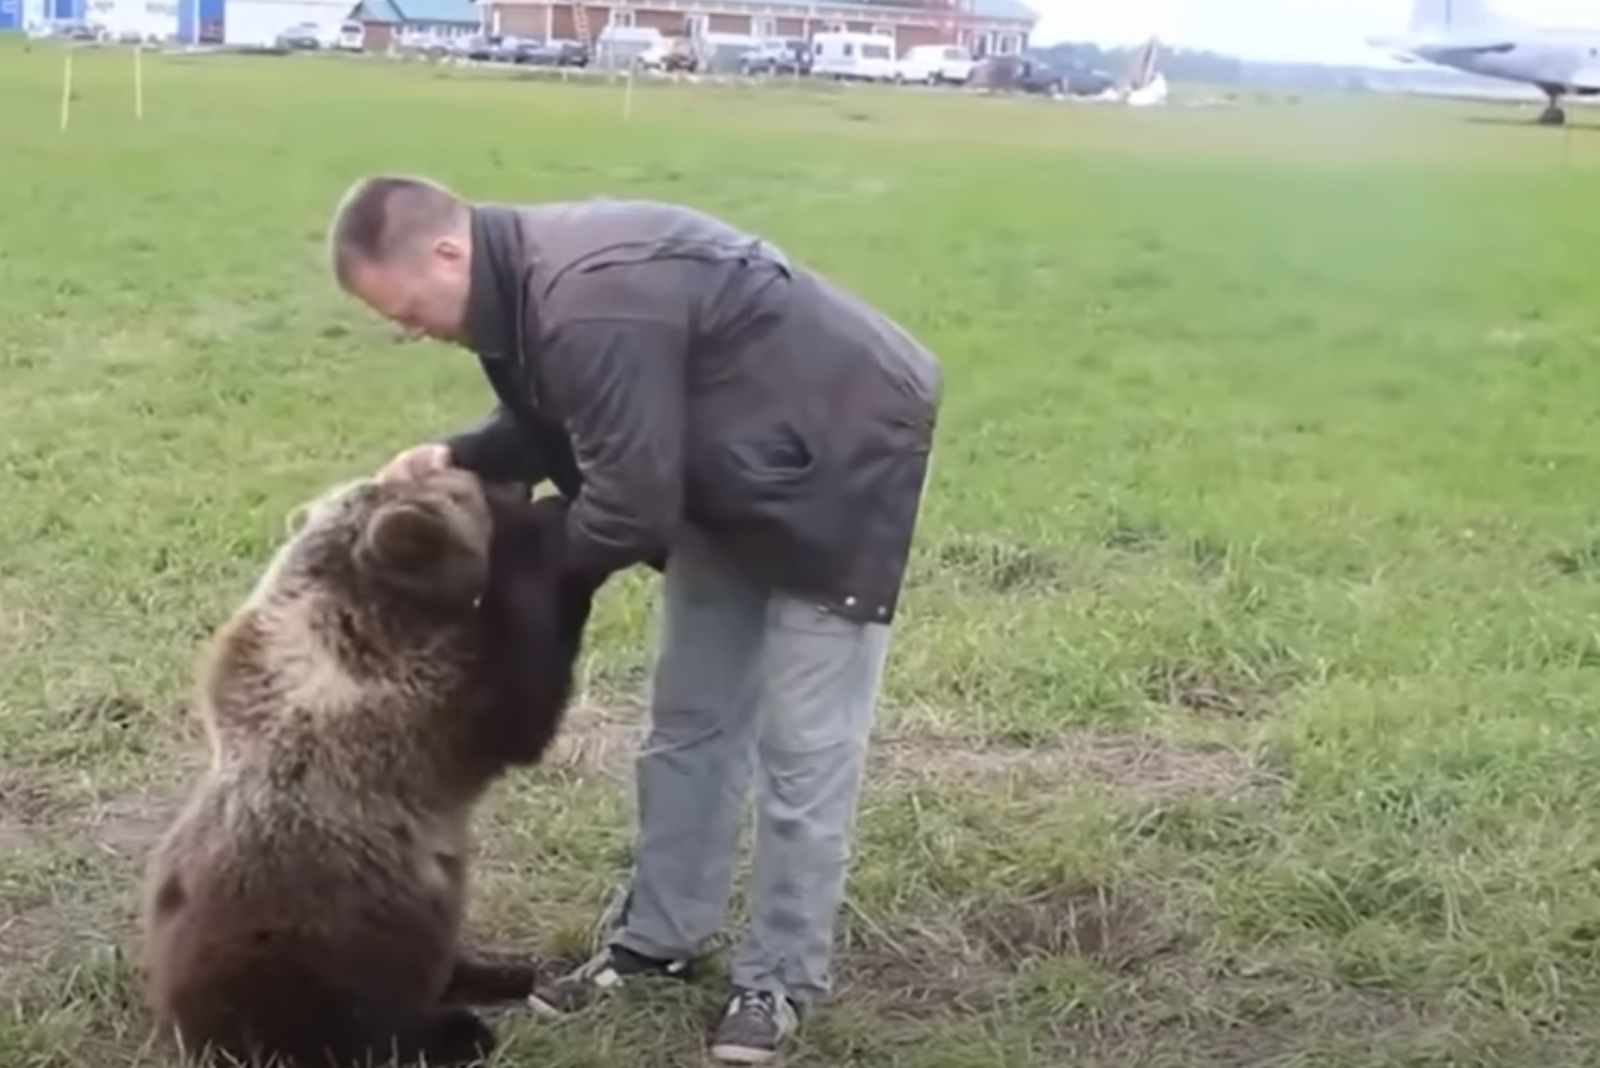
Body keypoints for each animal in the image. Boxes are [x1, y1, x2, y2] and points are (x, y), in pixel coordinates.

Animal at [137, 466, 598, 1068]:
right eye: (466, 489)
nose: (516, 483)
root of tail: (177, 1021)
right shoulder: (411, 706)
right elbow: (518, 703)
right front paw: (544, 538)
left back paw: (499, 972)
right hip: (307, 954)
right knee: (351, 1027)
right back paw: (457, 1030)